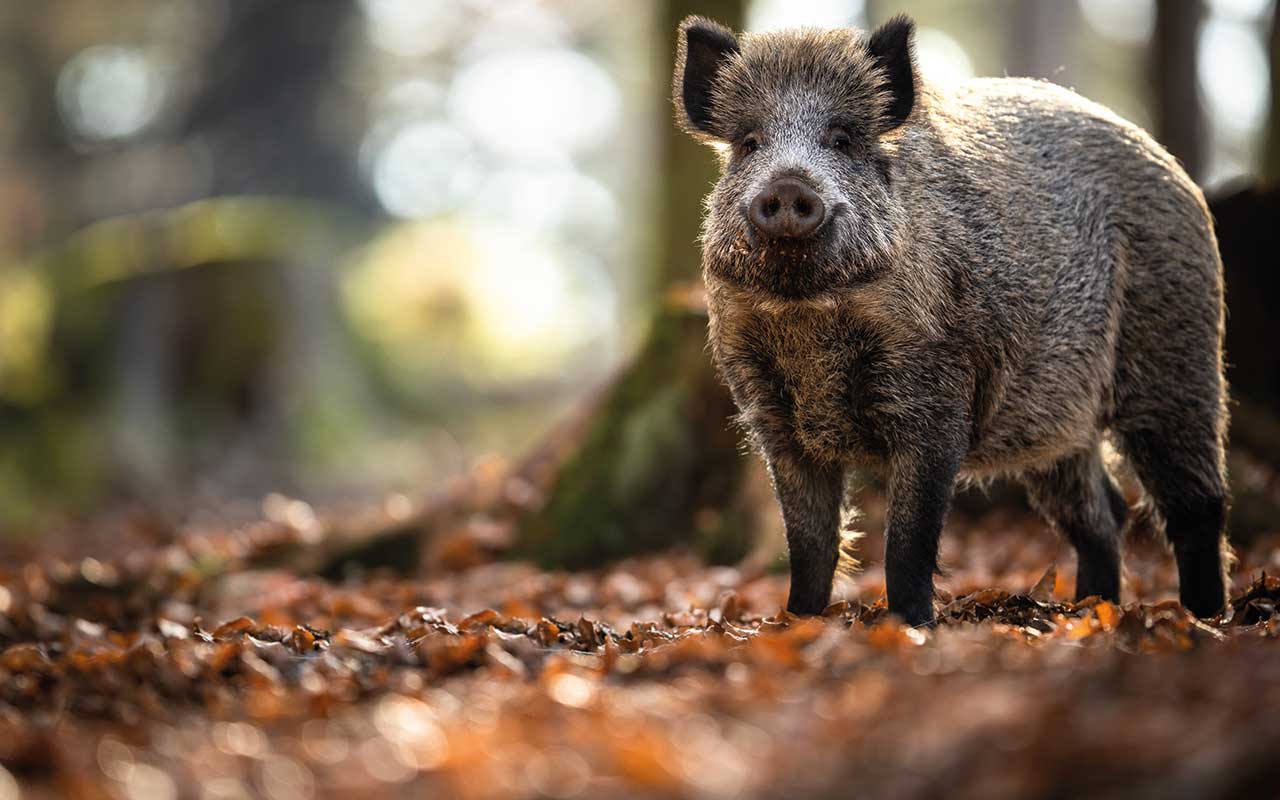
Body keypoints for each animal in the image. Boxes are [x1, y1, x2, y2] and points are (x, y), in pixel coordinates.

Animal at [672, 14, 1230, 626]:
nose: (789, 185)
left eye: (842, 140)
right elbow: (810, 542)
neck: (810, 316)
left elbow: (908, 540)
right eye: (749, 144)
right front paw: (799, 623)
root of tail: (1175, 170)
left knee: (1195, 505)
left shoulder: (936, 397)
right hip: (1053, 418)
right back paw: (1091, 609)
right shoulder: (771, 415)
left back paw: (1205, 619)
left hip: (1178, 353)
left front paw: (912, 627)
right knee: (1102, 511)